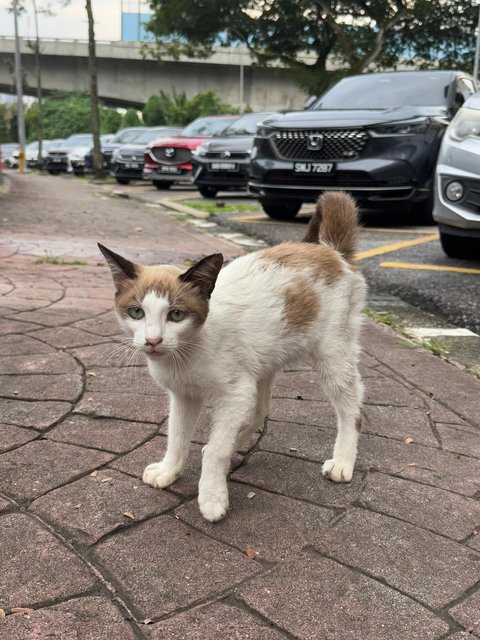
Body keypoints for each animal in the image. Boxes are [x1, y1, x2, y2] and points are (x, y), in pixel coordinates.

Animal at [99, 192, 366, 524]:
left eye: (176, 315)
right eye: (136, 312)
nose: (153, 340)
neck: (186, 353)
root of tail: (332, 251)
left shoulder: (235, 391)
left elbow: (215, 450)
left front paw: (212, 497)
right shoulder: (185, 395)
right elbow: (177, 436)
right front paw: (170, 470)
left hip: (332, 353)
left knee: (351, 407)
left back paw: (342, 461)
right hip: (262, 361)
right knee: (260, 409)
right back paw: (238, 439)